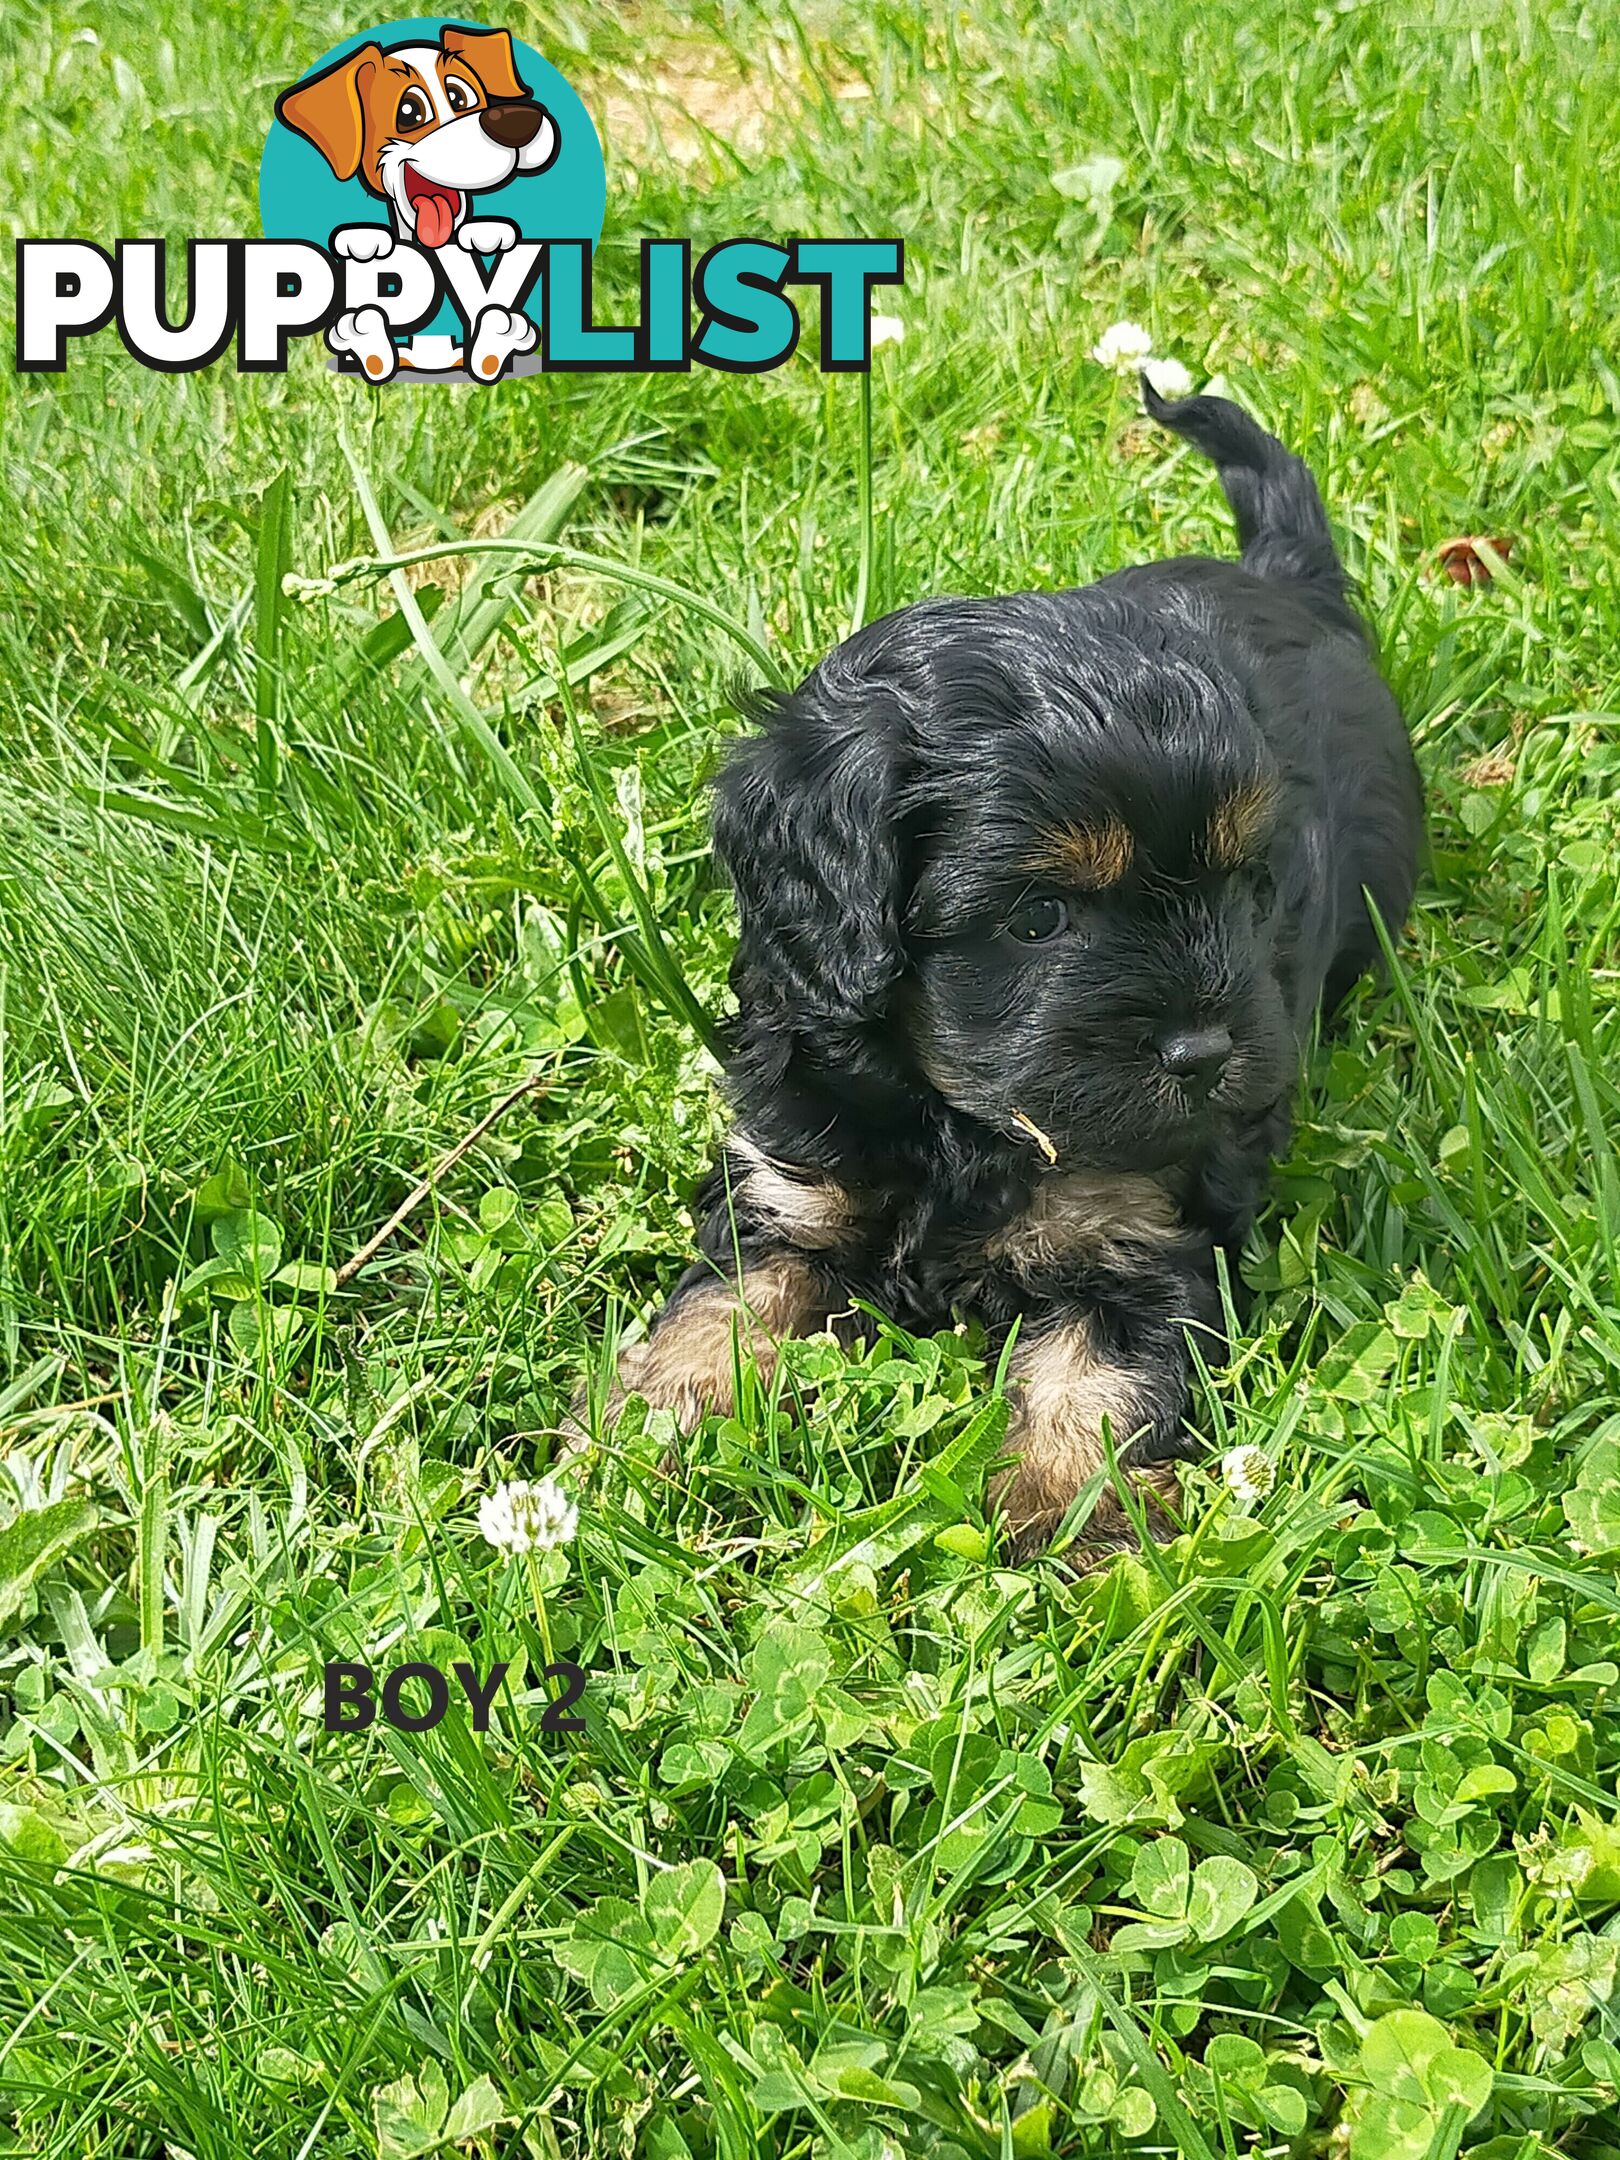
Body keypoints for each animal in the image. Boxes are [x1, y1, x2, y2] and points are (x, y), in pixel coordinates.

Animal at [591, 384, 1416, 1555]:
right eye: (1037, 917)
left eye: (1248, 889)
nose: (1207, 1055)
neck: (957, 1122)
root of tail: (1285, 577)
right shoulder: (791, 1175)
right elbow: (721, 1304)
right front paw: (642, 1431)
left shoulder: (1136, 1225)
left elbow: (1097, 1375)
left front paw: (1070, 1524)